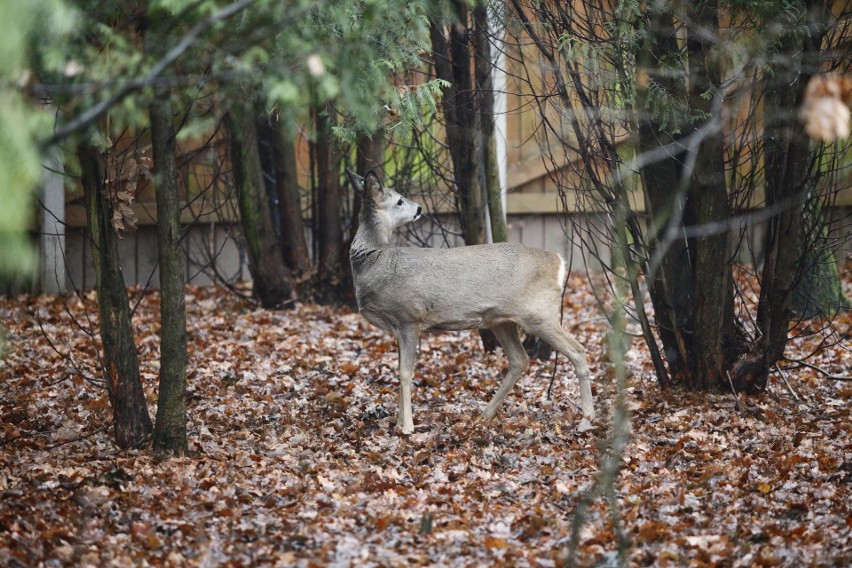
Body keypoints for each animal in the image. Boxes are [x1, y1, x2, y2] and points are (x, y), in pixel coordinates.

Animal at [344, 170, 592, 434]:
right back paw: (485, 413)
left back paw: (589, 415)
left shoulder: (409, 316)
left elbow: (405, 373)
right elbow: (399, 370)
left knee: (577, 350)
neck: (377, 260)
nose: (419, 208)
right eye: (399, 200)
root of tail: (558, 261)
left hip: (538, 313)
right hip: (501, 321)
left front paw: (407, 426)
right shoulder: (398, 326)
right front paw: (399, 422)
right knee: (520, 360)